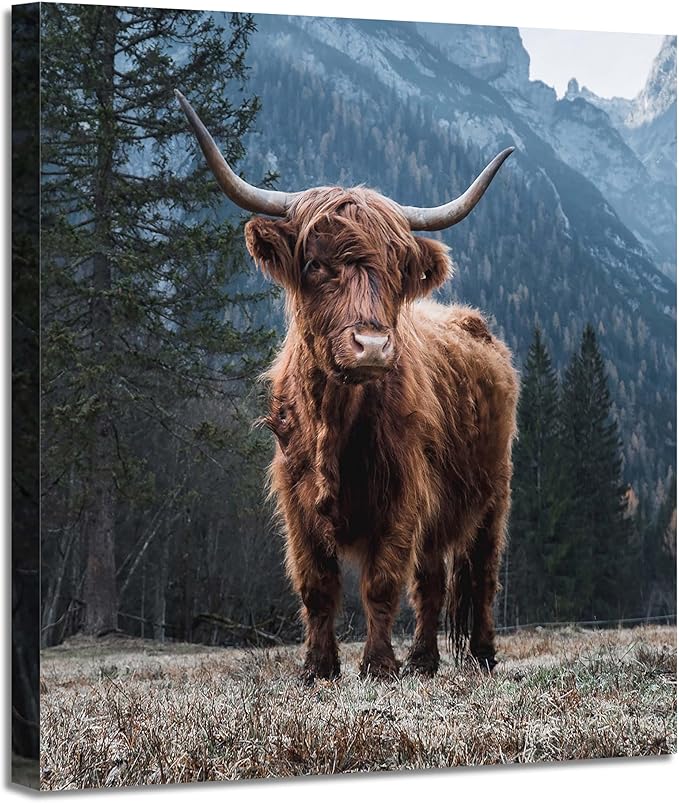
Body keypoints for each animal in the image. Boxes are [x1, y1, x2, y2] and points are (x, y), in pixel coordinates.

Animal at [176, 90, 519, 682]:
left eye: (397, 269)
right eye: (315, 264)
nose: (373, 346)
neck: (334, 420)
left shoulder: (403, 492)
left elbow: (381, 583)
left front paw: (378, 666)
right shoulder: (296, 497)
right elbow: (317, 585)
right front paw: (318, 667)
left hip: (493, 493)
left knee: (480, 575)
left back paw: (480, 656)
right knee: (431, 580)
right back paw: (424, 660)